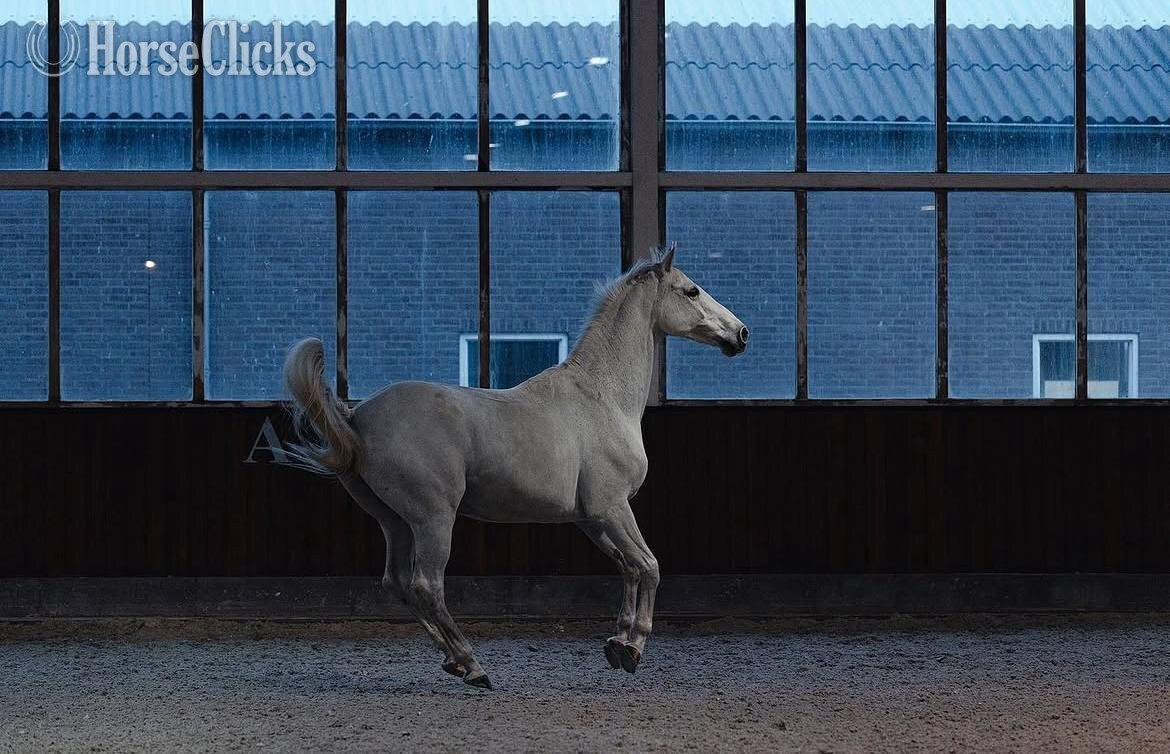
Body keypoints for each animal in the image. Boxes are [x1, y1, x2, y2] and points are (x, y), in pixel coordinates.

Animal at [282, 244, 747, 689]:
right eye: (691, 291)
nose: (741, 334)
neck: (603, 398)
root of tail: (357, 416)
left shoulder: (590, 518)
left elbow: (628, 567)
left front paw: (616, 644)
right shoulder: (612, 507)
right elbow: (649, 566)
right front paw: (633, 649)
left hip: (394, 522)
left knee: (397, 583)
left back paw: (451, 660)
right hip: (434, 520)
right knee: (425, 586)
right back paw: (472, 666)